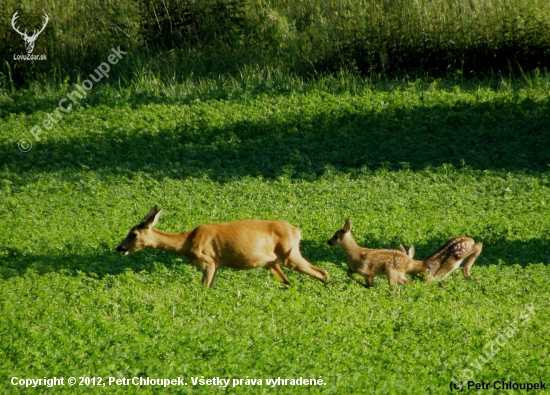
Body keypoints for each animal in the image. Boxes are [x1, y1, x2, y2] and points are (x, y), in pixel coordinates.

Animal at [117, 207, 330, 288]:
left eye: (133, 234)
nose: (120, 248)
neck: (187, 242)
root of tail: (297, 230)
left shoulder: (209, 260)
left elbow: (204, 287)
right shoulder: (217, 264)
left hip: (289, 255)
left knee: (322, 272)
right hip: (274, 262)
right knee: (289, 281)